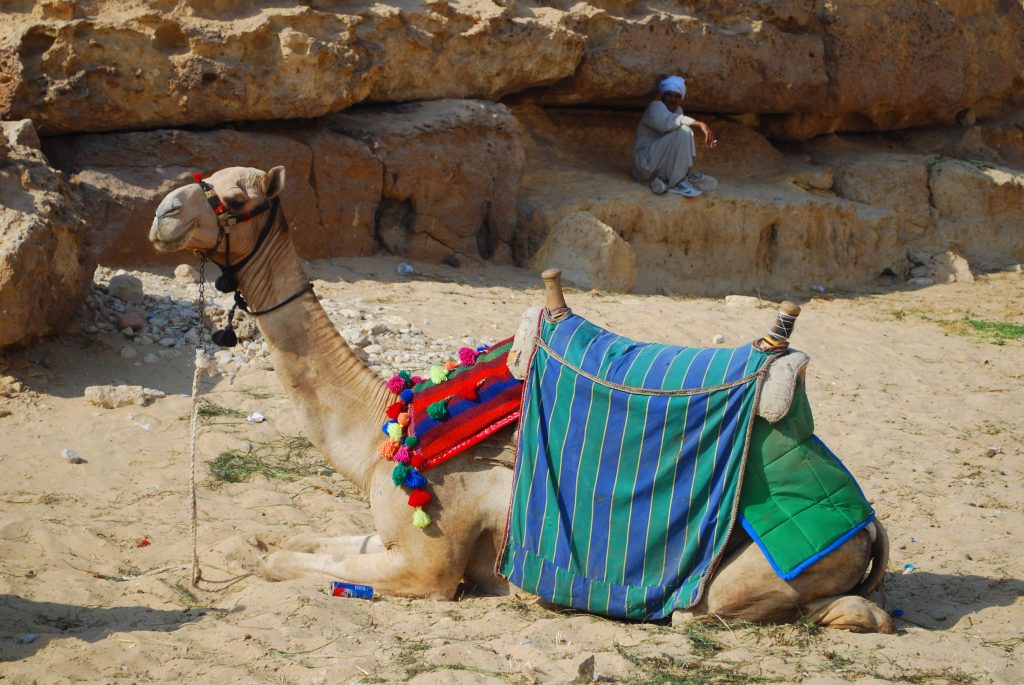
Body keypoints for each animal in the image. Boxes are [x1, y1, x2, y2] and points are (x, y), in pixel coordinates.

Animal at [149, 165, 893, 633]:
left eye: (237, 196)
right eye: (205, 180)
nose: (162, 212)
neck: (384, 430)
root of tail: (869, 526)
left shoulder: (429, 564)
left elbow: (287, 562)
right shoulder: (384, 529)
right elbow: (289, 542)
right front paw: (244, 546)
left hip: (755, 574)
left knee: (759, 608)